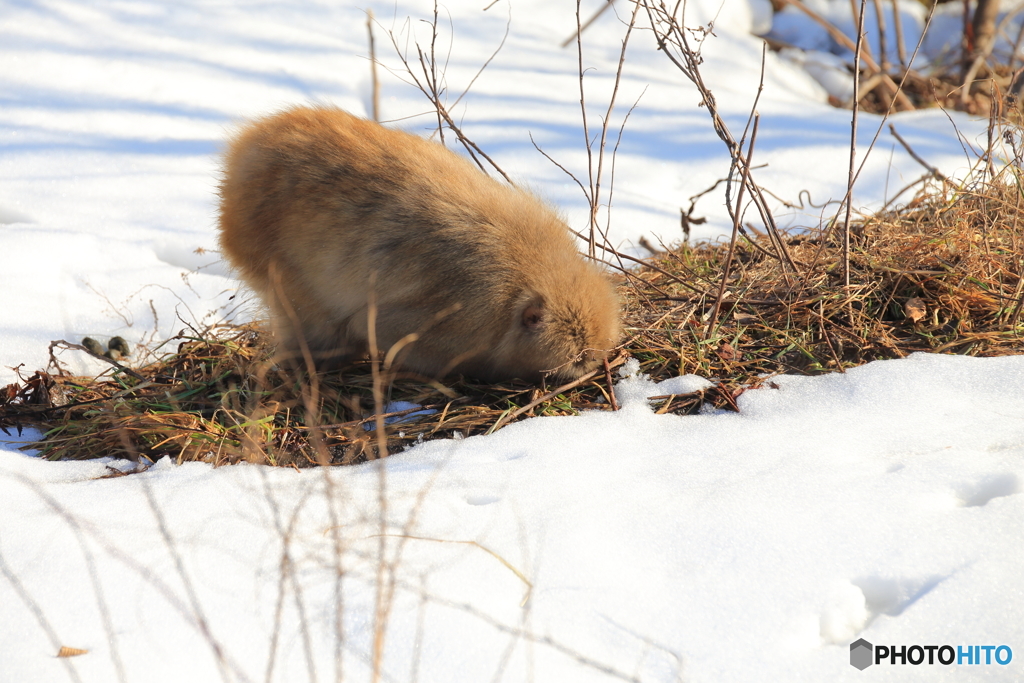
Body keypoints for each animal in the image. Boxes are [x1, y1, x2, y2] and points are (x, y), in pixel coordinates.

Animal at [219, 107, 618, 385]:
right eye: (578, 357)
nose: (592, 365)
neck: (532, 272)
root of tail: (243, 154)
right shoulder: (465, 317)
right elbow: (375, 325)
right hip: (264, 246)